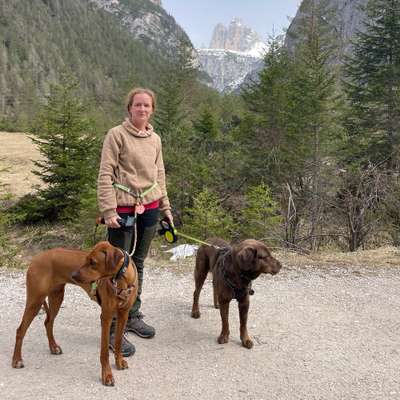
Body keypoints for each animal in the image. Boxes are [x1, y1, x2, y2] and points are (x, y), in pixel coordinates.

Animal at [10, 242, 138, 386]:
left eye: (93, 262)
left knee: (48, 322)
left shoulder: (123, 314)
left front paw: (119, 362)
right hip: (35, 301)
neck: (122, 280)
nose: (74, 275)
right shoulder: (106, 316)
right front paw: (107, 375)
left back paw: (53, 347)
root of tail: (36, 257)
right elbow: (104, 351)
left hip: (57, 296)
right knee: (20, 330)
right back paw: (17, 360)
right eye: (86, 259)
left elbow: (118, 341)